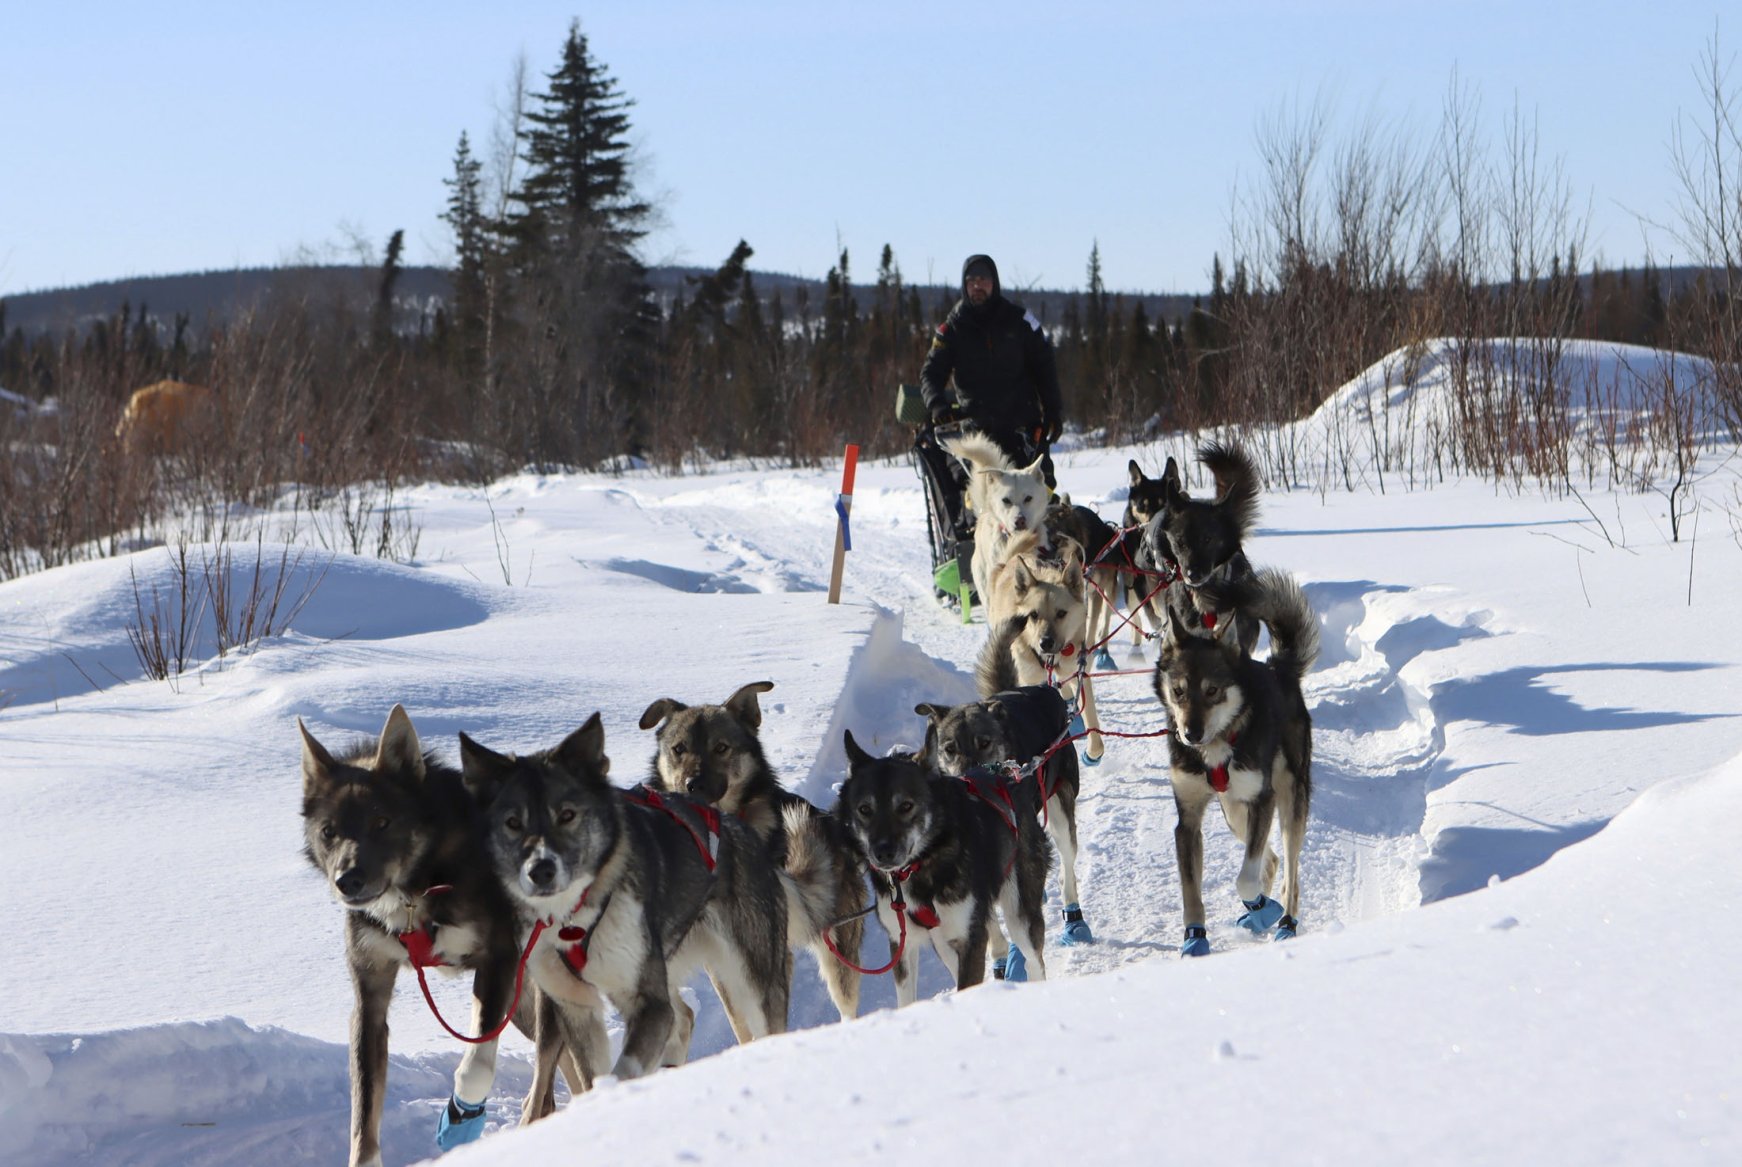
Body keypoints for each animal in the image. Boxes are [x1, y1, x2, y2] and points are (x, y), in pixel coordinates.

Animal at [1156, 567, 1316, 961]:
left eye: (1212, 691)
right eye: (1178, 691)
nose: (1191, 733)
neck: (1216, 745)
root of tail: (1278, 668)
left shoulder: (1263, 799)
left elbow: (1245, 879)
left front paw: (1262, 906)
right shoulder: (1188, 819)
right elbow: (1191, 891)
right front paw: (1195, 937)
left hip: (1288, 800)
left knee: (1289, 870)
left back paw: (1285, 922)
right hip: (1234, 811)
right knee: (1270, 861)